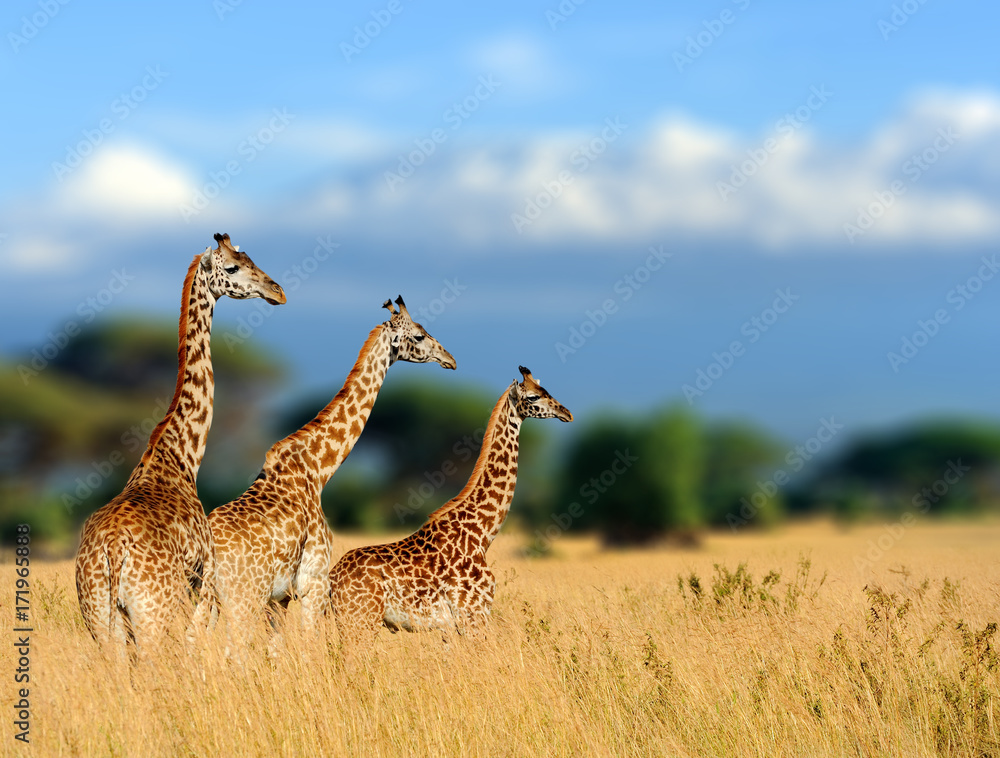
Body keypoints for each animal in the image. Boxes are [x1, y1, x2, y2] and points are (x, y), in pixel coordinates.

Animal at [73, 233, 286, 652]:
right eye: (233, 266)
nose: (278, 292)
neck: (181, 455)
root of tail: (112, 551)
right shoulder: (204, 585)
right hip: (152, 613)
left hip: (100, 619)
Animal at [199, 296, 458, 648]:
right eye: (419, 335)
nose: (450, 359)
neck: (318, 470)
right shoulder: (314, 583)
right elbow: (310, 645)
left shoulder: (280, 598)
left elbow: (276, 649)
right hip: (243, 597)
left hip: (206, 598)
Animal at [332, 368, 576, 648]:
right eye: (534, 396)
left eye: (546, 389)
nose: (566, 413)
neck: (482, 533)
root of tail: (331, 580)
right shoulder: (473, 614)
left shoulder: (451, 627)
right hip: (361, 620)